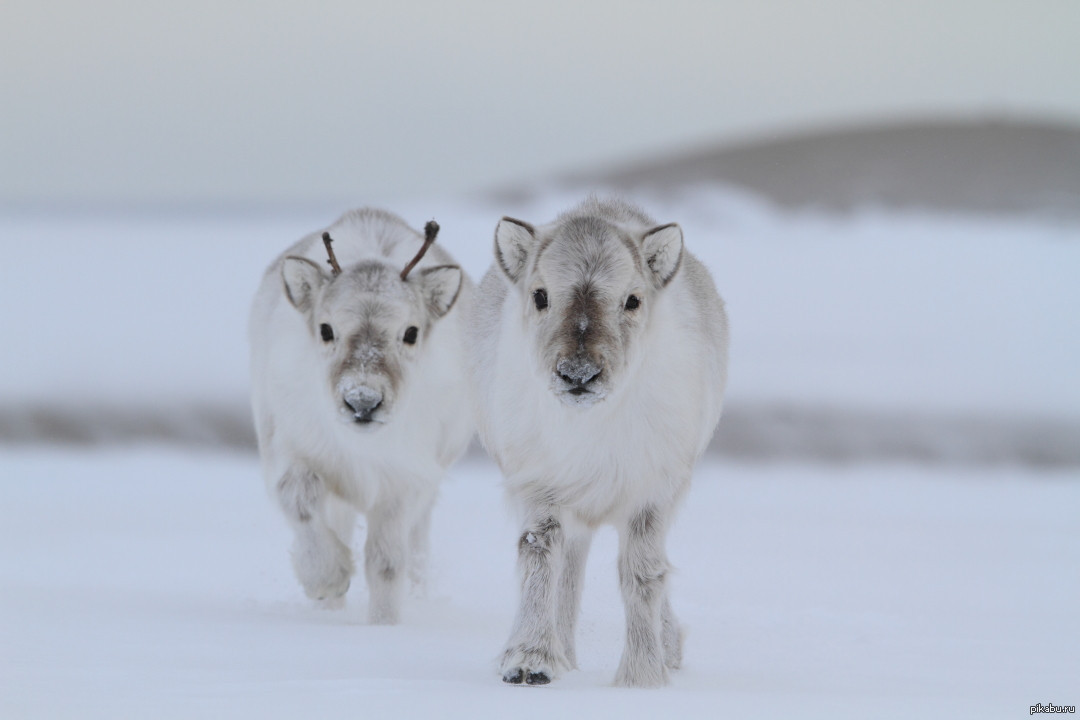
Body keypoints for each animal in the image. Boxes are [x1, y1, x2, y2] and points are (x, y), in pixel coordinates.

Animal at [252, 208, 477, 626]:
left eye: (411, 332)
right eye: (326, 329)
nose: (362, 402)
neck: (362, 446)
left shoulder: (405, 482)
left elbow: (386, 562)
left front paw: (383, 625)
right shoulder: (291, 449)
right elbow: (299, 499)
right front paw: (327, 580)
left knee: (417, 546)